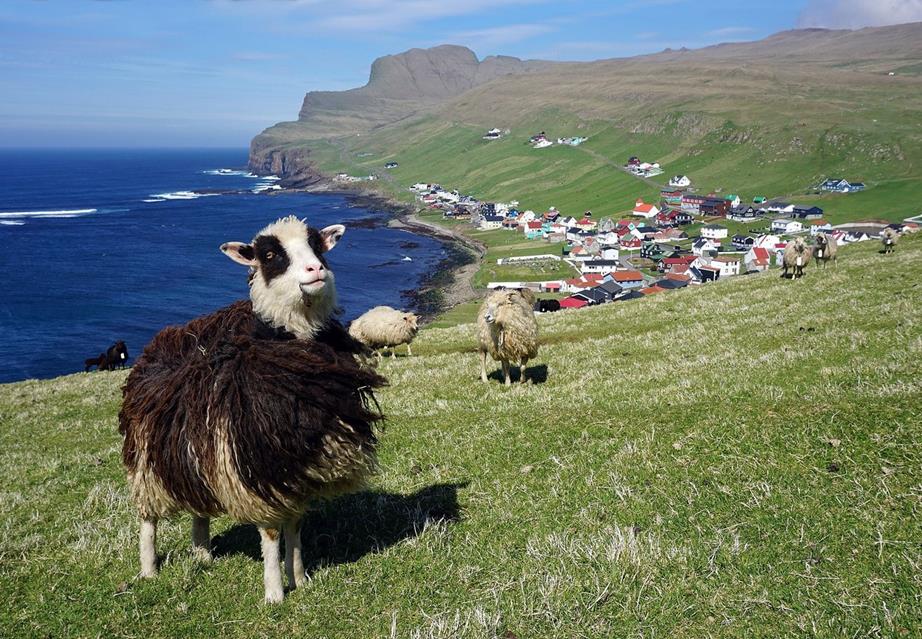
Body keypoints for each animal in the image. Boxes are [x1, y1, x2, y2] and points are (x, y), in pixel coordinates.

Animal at [118, 215, 386, 604]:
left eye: (316, 246)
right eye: (271, 255)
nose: (316, 269)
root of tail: (166, 338)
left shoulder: (297, 469)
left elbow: (295, 526)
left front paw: (300, 577)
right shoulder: (257, 469)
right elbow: (272, 534)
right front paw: (275, 593)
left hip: (196, 453)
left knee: (199, 510)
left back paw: (203, 554)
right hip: (146, 465)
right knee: (147, 517)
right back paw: (149, 569)